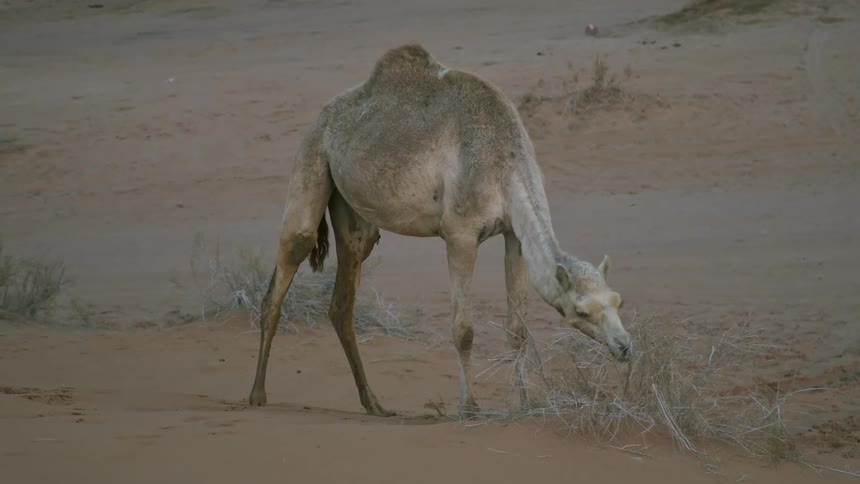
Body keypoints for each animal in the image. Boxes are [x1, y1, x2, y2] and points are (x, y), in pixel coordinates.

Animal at [248, 44, 632, 418]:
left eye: (617, 301)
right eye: (582, 311)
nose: (625, 346)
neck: (503, 160)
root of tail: (323, 115)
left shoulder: (514, 236)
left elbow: (518, 329)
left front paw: (528, 405)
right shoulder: (460, 234)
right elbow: (463, 330)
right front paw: (469, 408)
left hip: (355, 212)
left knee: (343, 297)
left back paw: (374, 404)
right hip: (312, 155)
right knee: (291, 255)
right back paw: (257, 395)